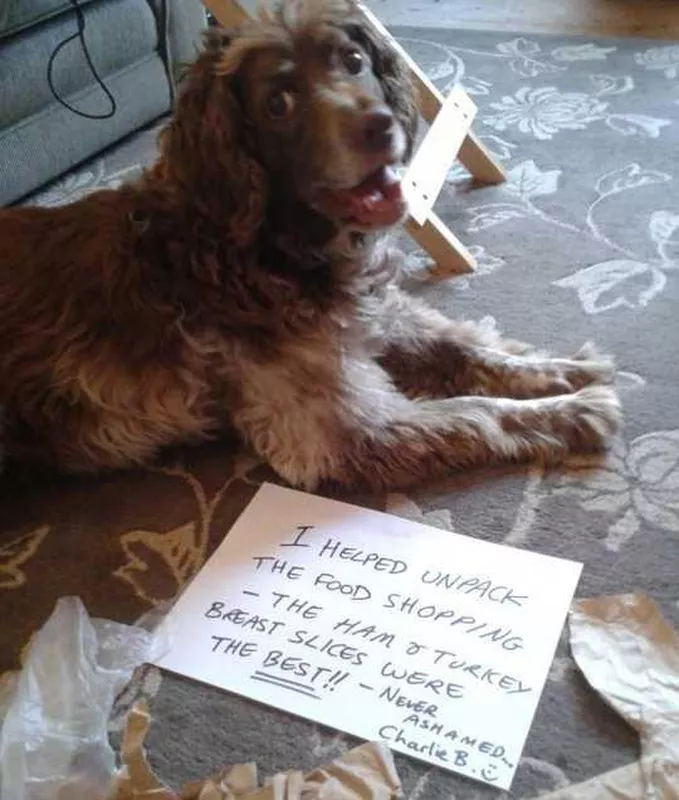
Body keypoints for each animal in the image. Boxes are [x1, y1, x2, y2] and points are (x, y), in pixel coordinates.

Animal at [0, 0, 620, 490]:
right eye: (278, 103)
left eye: (354, 62)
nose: (379, 125)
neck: (260, 252)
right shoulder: (348, 430)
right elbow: (480, 411)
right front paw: (573, 410)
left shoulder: (375, 316)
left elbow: (464, 349)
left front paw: (563, 371)